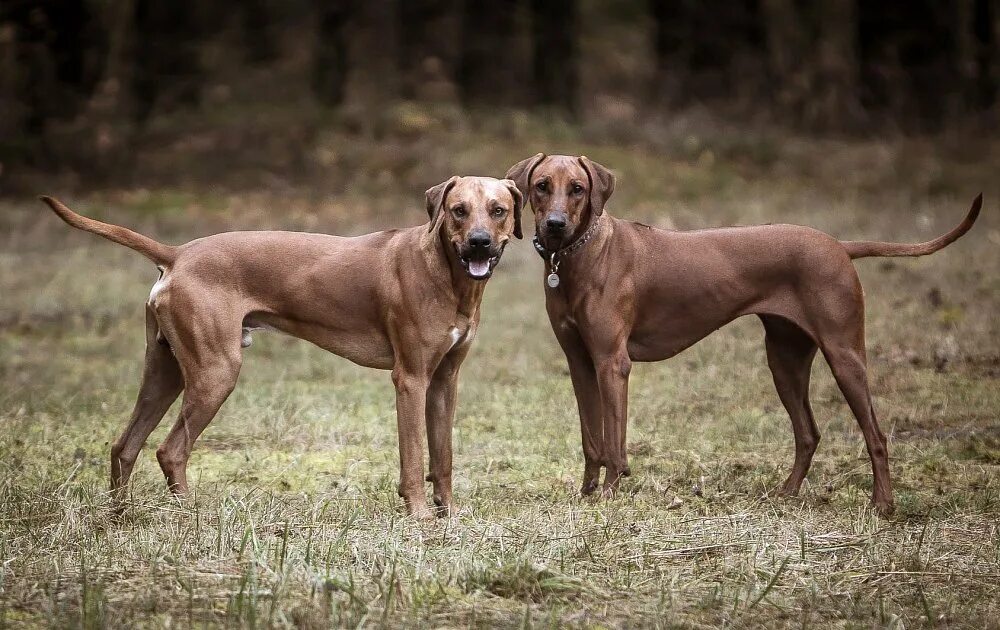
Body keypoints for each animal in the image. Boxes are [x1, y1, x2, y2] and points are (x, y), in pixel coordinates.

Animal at [39, 175, 524, 520]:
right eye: (458, 211)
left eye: (498, 211)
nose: (479, 242)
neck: (447, 274)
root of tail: (177, 254)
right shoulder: (411, 379)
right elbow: (414, 455)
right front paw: (420, 516)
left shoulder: (444, 381)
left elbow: (443, 455)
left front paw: (449, 514)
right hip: (216, 372)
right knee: (170, 450)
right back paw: (188, 513)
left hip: (165, 370)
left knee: (125, 446)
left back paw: (119, 516)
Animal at [504, 154, 980, 520]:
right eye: (542, 186)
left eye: (578, 188)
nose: (555, 225)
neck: (579, 254)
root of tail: (838, 245)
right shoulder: (581, 364)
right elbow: (592, 438)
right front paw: (586, 493)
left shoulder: (612, 364)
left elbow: (614, 441)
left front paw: (609, 494)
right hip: (784, 359)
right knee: (808, 433)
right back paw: (786, 494)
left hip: (845, 355)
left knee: (876, 436)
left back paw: (882, 505)